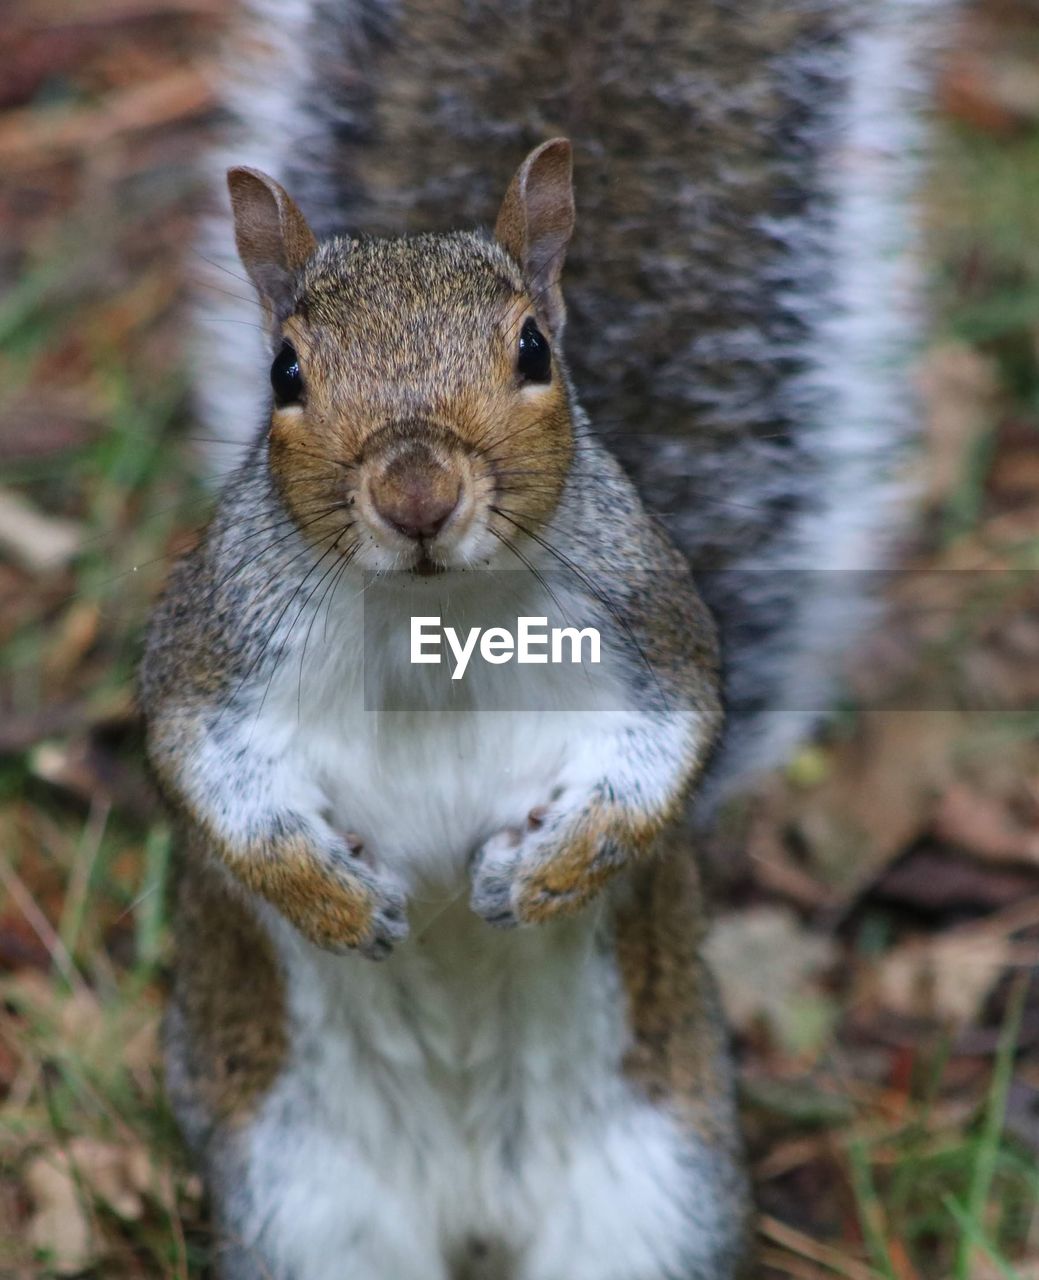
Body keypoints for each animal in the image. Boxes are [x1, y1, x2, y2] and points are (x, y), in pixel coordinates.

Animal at [142, 145, 752, 1274]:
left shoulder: (650, 629)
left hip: (656, 1195)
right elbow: (214, 783)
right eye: (284, 372)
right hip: (301, 1206)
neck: (437, 617)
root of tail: (475, 1208)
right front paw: (335, 901)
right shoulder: (212, 651)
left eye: (534, 349)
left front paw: (546, 874)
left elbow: (657, 760)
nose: (416, 494)